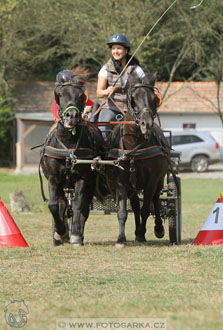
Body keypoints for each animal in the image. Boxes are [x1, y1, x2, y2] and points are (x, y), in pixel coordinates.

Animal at [40, 69, 105, 245]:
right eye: (60, 94)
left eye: (80, 95)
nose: (72, 115)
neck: (68, 144)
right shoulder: (53, 178)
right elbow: (54, 205)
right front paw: (60, 231)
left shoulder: (83, 178)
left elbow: (78, 205)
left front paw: (75, 234)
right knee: (62, 203)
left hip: (90, 183)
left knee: (83, 207)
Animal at [105, 73, 170, 248]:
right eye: (133, 98)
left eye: (154, 98)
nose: (146, 124)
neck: (133, 147)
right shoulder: (121, 181)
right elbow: (123, 211)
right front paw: (121, 239)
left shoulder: (152, 180)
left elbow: (146, 209)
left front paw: (141, 235)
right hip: (132, 187)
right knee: (134, 205)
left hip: (159, 180)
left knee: (155, 199)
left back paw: (157, 228)